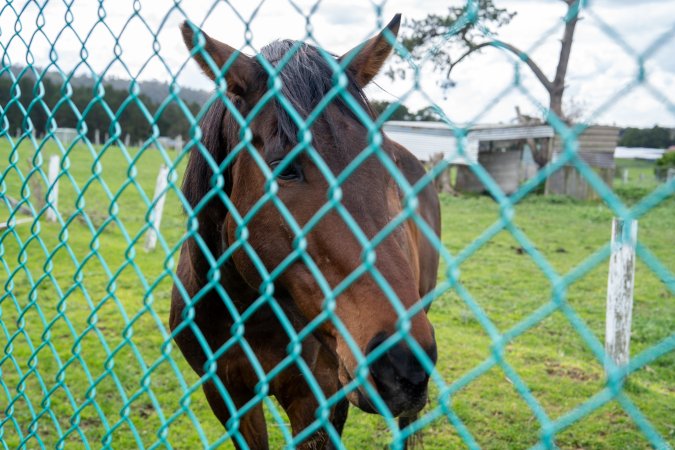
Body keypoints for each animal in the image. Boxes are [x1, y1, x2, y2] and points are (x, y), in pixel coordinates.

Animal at [170, 14, 441, 449]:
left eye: (386, 164)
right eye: (285, 167)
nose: (402, 362)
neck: (246, 311)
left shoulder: (317, 402)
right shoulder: (226, 394)